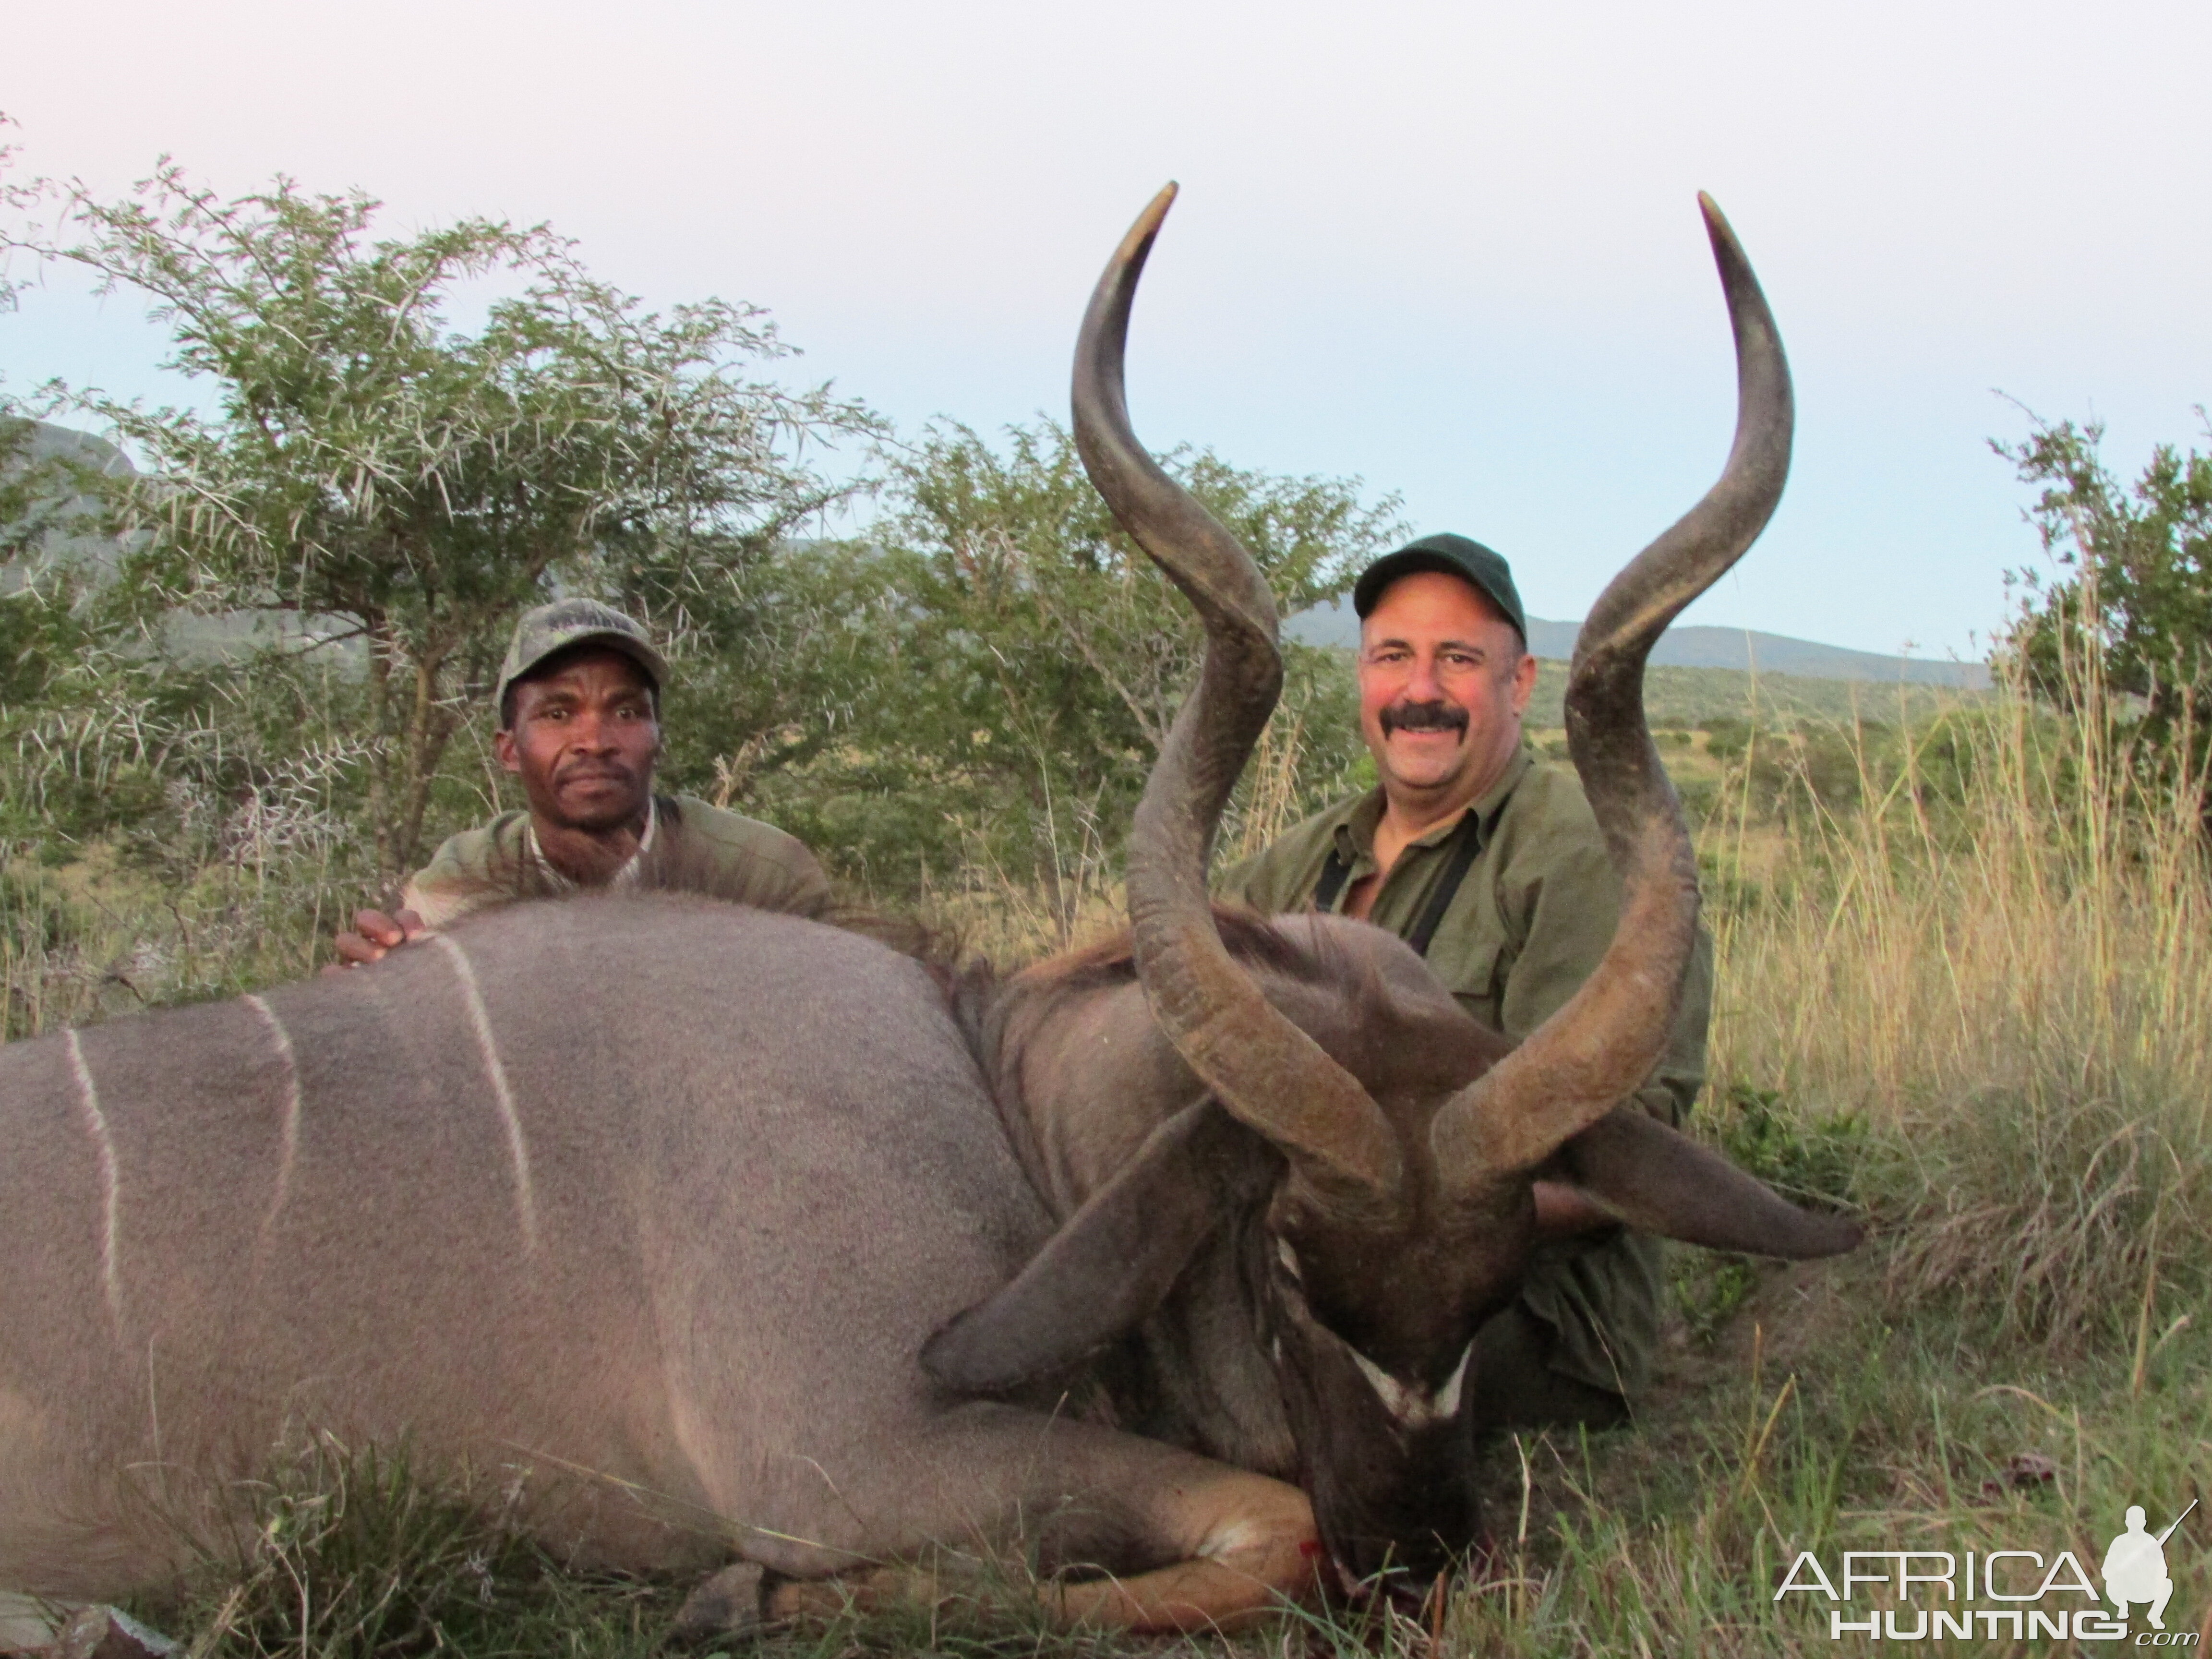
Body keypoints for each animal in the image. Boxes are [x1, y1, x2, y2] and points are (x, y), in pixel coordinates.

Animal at [4, 191, 1849, 1636]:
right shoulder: (860, 1454)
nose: (1419, 1554)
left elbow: (1261, 1522)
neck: (994, 1098)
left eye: (1495, 1276)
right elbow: (1264, 1526)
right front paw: (749, 1597)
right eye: (1285, 1255)